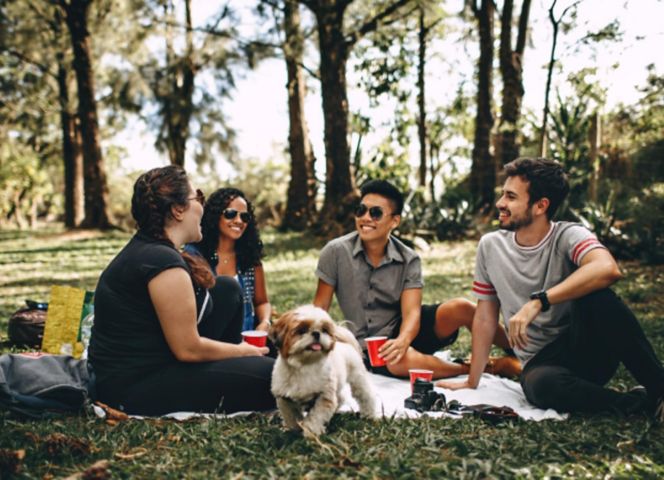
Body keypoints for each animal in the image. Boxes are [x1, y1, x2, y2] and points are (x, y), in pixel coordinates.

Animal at [268, 306, 374, 436]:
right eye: (302, 330)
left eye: (324, 330)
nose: (316, 333)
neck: (304, 365)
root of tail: (344, 343)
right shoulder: (284, 398)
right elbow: (291, 415)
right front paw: (294, 429)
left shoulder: (324, 396)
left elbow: (316, 416)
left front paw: (310, 432)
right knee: (340, 398)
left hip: (358, 378)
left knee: (366, 396)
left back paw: (370, 414)